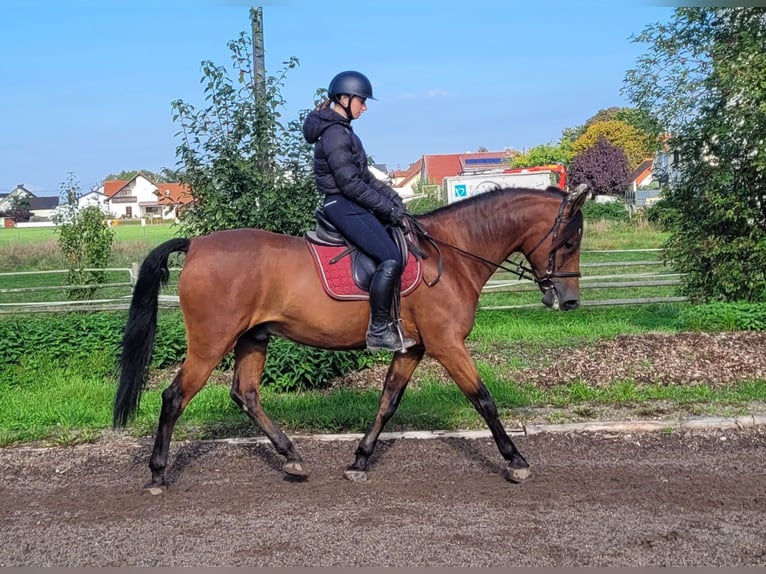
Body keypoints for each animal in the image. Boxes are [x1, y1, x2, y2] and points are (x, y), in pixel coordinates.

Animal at [113, 184, 588, 489]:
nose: (568, 301)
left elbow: (388, 402)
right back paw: (158, 474)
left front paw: (360, 461)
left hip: (253, 337)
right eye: (568, 242)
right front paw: (516, 460)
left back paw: (292, 458)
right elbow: (483, 399)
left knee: (245, 394)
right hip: (211, 343)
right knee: (175, 397)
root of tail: (196, 245)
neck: (450, 257)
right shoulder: (447, 345)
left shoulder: (413, 348)